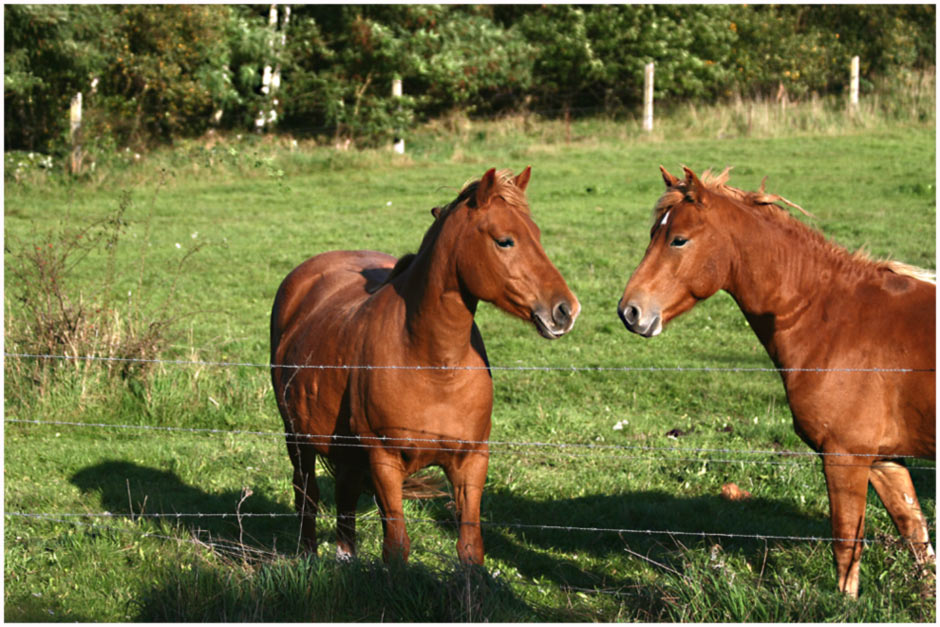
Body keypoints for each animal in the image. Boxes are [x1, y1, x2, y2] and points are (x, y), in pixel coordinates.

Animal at [268, 169, 576, 568]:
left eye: (537, 235)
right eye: (505, 241)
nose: (565, 310)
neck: (435, 366)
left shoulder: (472, 461)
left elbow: (470, 548)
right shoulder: (384, 461)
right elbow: (396, 546)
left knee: (345, 493)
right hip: (296, 435)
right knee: (306, 492)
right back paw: (307, 555)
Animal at [616, 167, 932, 600]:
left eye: (678, 239)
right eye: (653, 234)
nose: (629, 311)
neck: (835, 317)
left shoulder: (845, 457)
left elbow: (846, 548)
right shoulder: (885, 461)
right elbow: (917, 540)